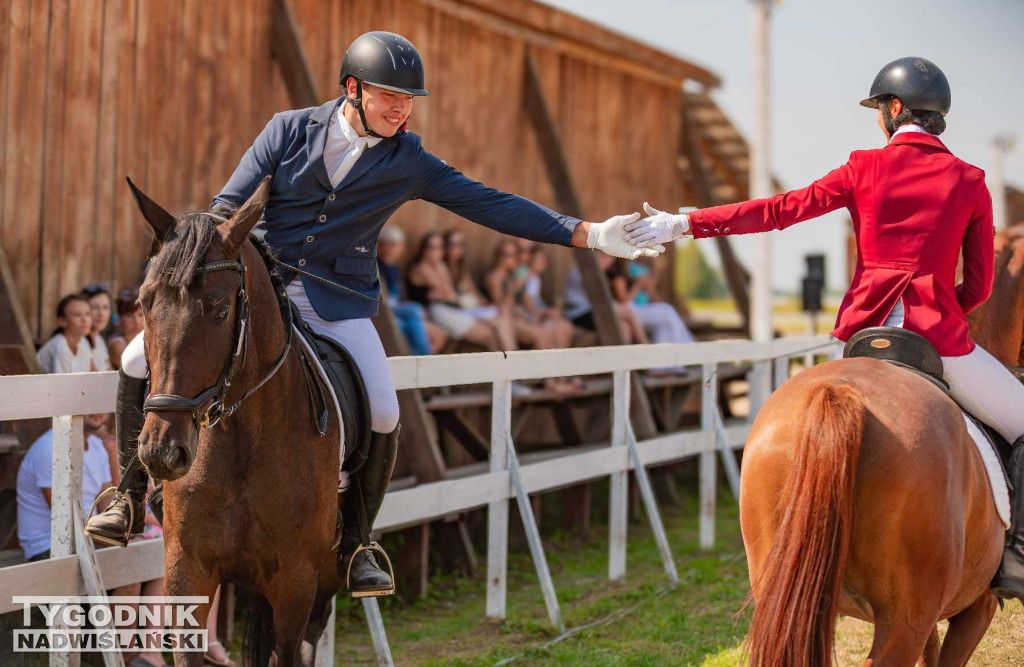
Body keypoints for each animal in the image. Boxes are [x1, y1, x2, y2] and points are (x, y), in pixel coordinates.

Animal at [128, 178, 342, 667]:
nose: (161, 452)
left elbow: (289, 652)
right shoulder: (187, 572)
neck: (243, 439)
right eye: (144, 303)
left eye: (221, 309)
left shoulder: (296, 583)